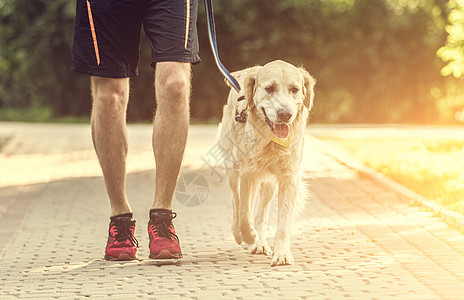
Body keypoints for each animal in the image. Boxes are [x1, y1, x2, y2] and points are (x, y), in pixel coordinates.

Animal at [218, 59, 316, 266]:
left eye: (295, 89)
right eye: (269, 88)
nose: (285, 114)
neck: (270, 142)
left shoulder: (288, 178)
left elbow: (282, 223)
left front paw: (282, 253)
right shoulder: (248, 175)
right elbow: (244, 216)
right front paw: (250, 237)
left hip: (269, 185)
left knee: (260, 214)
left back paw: (261, 242)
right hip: (233, 170)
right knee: (236, 203)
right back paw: (241, 235)